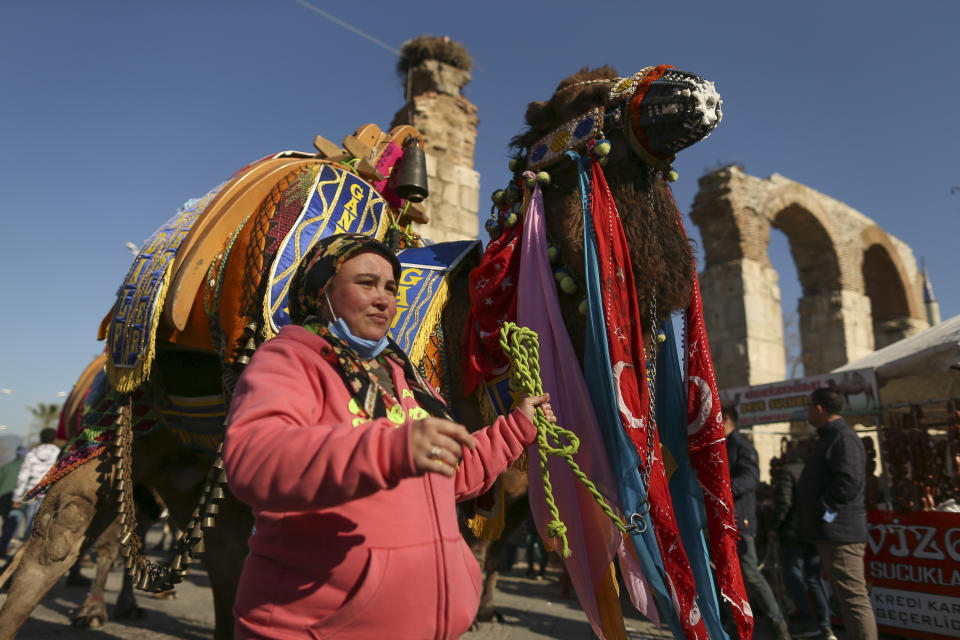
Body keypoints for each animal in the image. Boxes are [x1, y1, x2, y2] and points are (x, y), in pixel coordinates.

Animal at [0, 61, 744, 640]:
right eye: (584, 99)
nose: (694, 90)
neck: (474, 329)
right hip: (115, 429)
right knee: (58, 544)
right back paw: (90, 606)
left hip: (190, 462)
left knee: (214, 552)